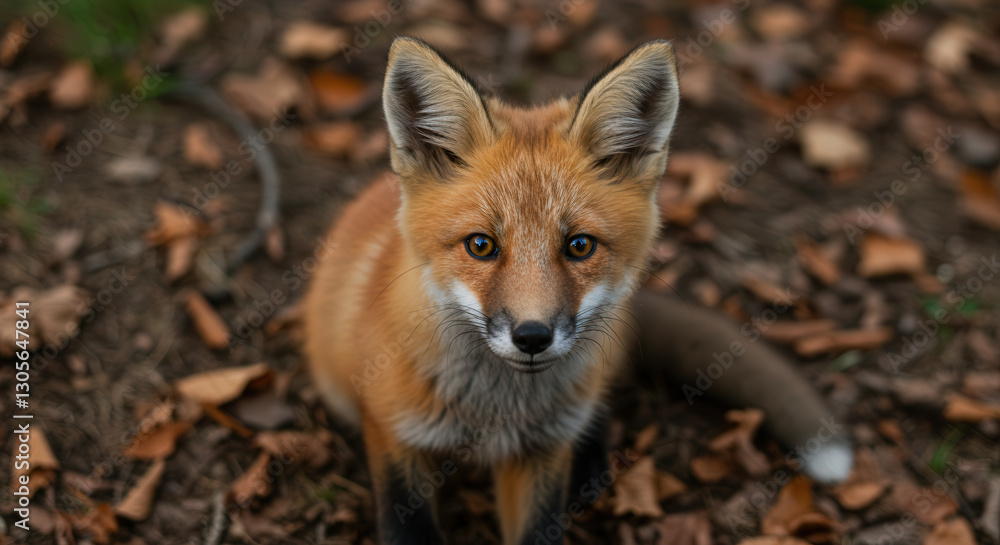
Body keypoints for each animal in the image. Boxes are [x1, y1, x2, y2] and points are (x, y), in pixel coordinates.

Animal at [304, 37, 853, 545]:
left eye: (579, 245)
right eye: (481, 245)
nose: (532, 336)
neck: (496, 415)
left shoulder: (542, 453)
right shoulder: (395, 438)